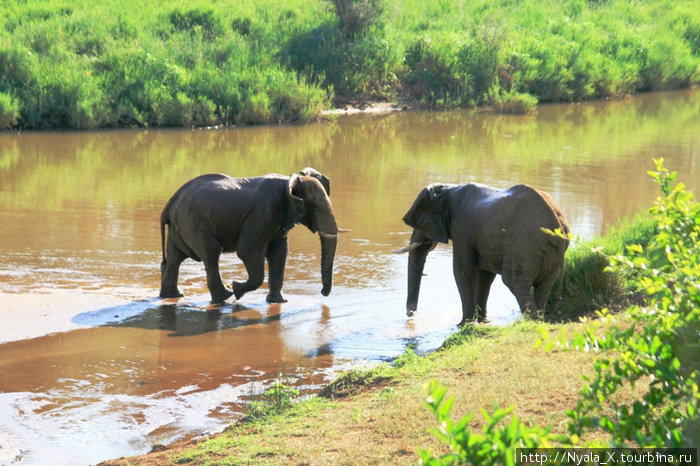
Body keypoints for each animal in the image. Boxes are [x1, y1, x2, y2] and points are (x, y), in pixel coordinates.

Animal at [159, 167, 340, 302]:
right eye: (314, 206)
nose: (322, 292)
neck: (289, 182)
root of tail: (170, 204)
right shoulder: (262, 214)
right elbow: (247, 251)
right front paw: (236, 288)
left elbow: (279, 252)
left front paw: (278, 301)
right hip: (193, 222)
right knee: (211, 253)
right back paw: (226, 296)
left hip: (181, 224)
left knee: (175, 257)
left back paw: (174, 295)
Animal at [394, 182, 568, 324]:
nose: (411, 315)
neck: (447, 188)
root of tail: (557, 228)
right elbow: (485, 276)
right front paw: (483, 321)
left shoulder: (461, 227)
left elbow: (463, 272)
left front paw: (464, 324)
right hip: (549, 254)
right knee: (544, 286)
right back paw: (539, 320)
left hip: (523, 244)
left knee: (514, 281)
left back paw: (531, 321)